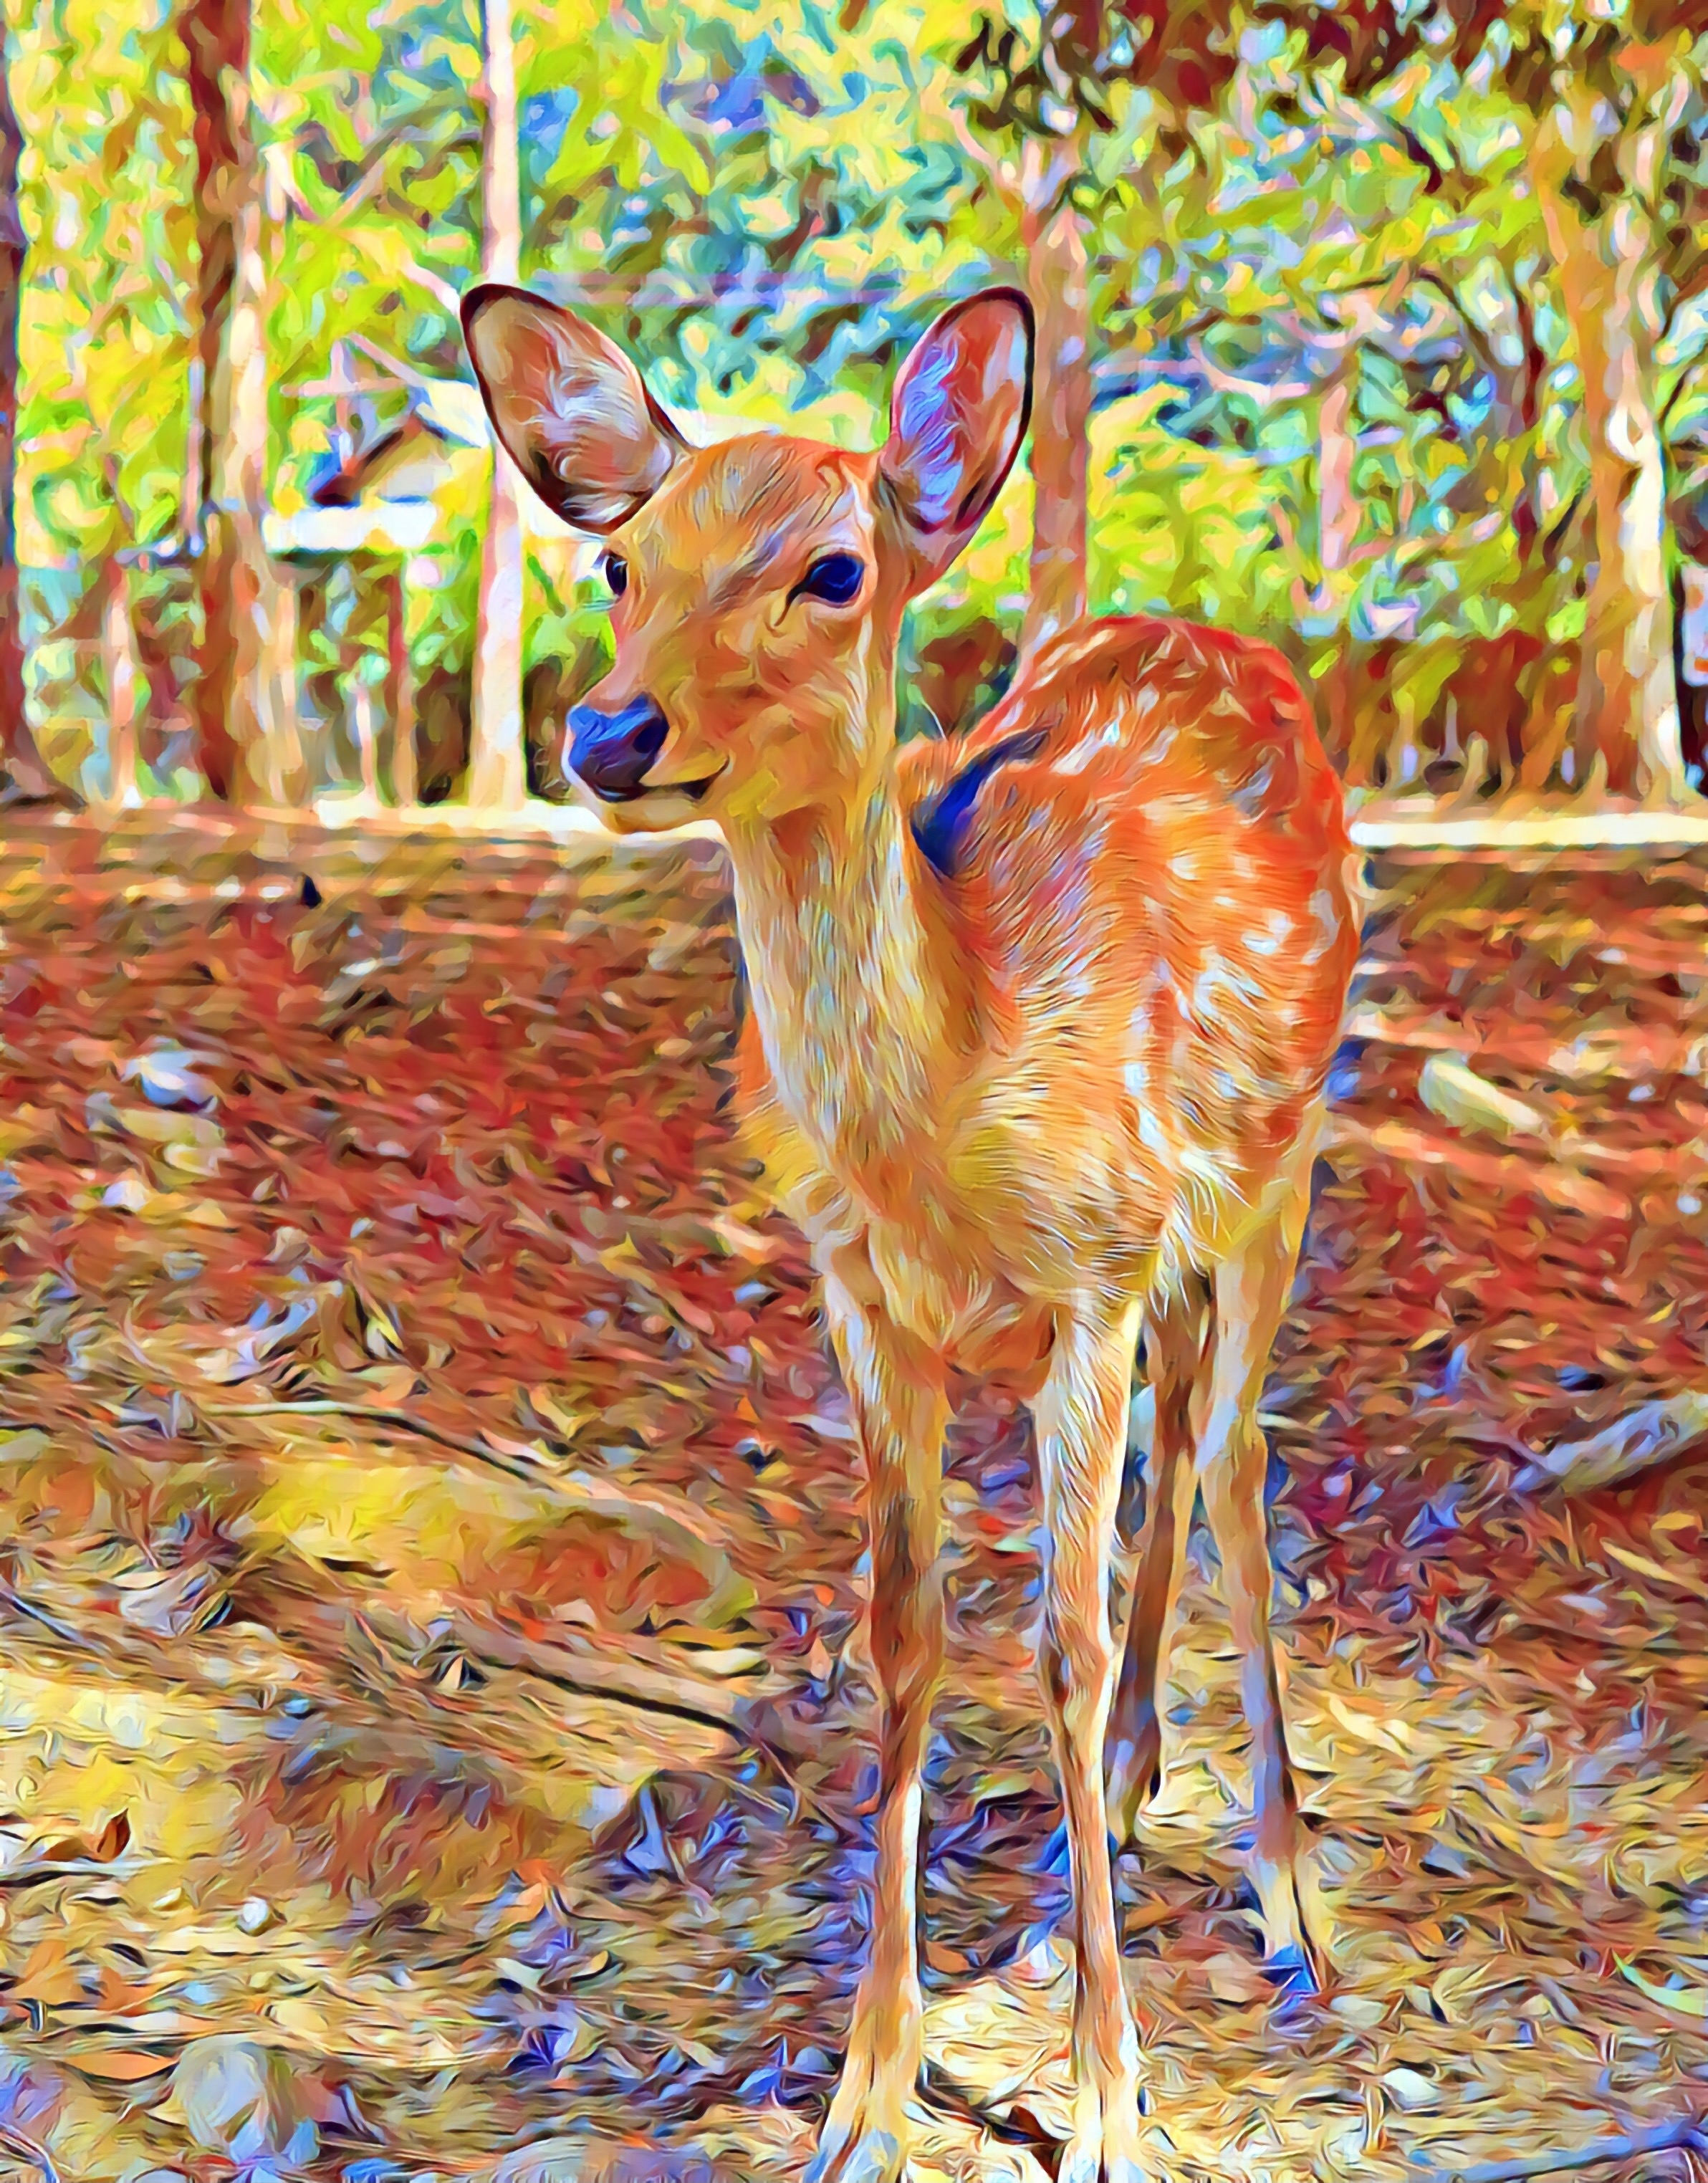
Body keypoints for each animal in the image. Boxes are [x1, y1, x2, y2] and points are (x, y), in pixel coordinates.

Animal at [465, 282, 1363, 2183]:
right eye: (618, 562)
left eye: (830, 567)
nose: (603, 734)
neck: (943, 1108)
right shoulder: (863, 1297)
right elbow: (905, 1630)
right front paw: (862, 2096)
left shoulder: (1090, 1271)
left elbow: (1058, 1637)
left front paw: (1105, 2105)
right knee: (1184, 1447)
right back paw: (1130, 1792)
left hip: (1280, 1165)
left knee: (1237, 1462)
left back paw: (1289, 1897)